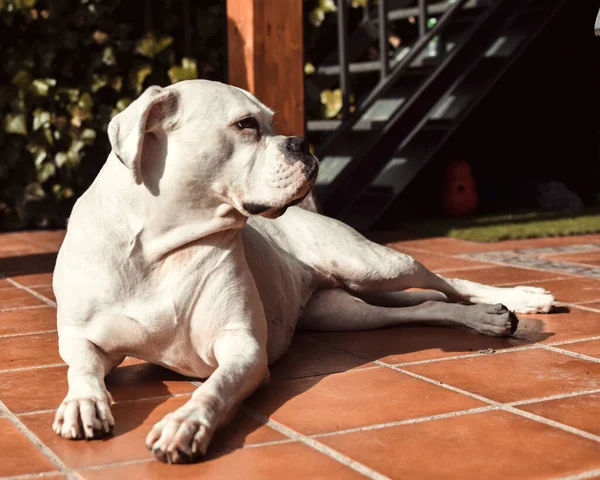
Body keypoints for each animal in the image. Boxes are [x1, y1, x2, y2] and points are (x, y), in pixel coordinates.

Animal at [51, 80, 552, 464]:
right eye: (246, 125)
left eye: (272, 122)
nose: (301, 143)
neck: (159, 248)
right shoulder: (85, 339)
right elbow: (82, 368)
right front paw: (82, 403)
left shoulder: (243, 349)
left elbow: (214, 388)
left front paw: (185, 423)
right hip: (348, 309)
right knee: (422, 306)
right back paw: (482, 316)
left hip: (372, 264)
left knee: (449, 283)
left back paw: (514, 303)